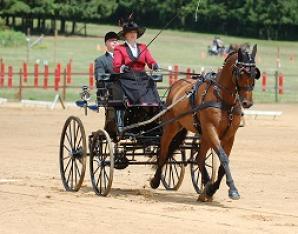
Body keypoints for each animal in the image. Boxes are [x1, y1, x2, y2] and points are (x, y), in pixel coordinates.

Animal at [150, 44, 260, 200]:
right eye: (241, 72)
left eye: (254, 73)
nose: (247, 102)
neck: (223, 100)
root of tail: (176, 84)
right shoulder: (211, 129)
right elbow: (223, 158)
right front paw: (232, 189)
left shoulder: (229, 136)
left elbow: (222, 164)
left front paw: (214, 188)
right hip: (172, 127)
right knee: (164, 152)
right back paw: (156, 180)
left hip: (204, 135)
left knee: (199, 158)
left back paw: (207, 186)